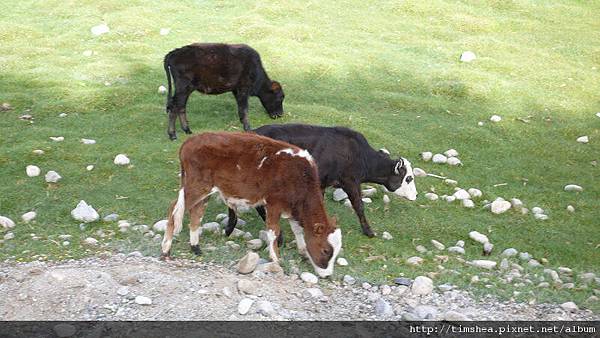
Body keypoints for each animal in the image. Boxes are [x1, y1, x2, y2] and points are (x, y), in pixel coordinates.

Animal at [161, 131, 342, 276]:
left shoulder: (292, 207)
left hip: (204, 191)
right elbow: (273, 231)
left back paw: (195, 247)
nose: (328, 275)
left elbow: (297, 230)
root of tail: (191, 140)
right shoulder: (274, 203)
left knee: (196, 214)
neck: (300, 177)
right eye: (326, 250)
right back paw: (166, 250)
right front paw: (276, 259)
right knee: (173, 209)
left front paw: (303, 251)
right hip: (196, 187)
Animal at [227, 124, 420, 238]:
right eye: (409, 178)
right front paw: (369, 232)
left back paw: (230, 228)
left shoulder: (322, 182)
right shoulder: (350, 181)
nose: (416, 195)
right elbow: (359, 205)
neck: (360, 154)